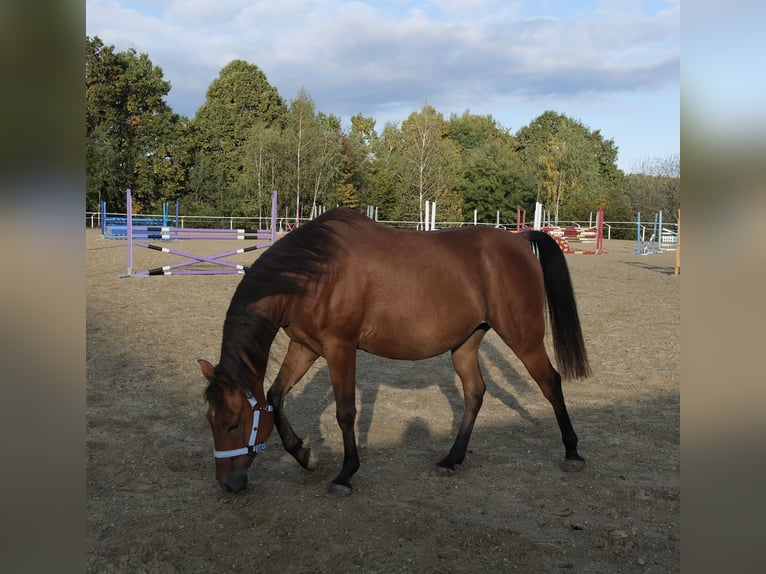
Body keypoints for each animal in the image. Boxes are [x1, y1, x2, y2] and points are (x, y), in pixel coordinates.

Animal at [199, 208, 590, 495]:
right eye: (210, 422)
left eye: (234, 424)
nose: (228, 484)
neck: (314, 272)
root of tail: (518, 240)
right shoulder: (306, 345)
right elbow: (275, 396)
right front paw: (304, 455)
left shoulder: (339, 347)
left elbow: (345, 412)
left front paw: (345, 474)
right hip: (466, 342)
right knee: (475, 393)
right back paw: (452, 458)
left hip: (523, 338)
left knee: (550, 382)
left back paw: (572, 451)